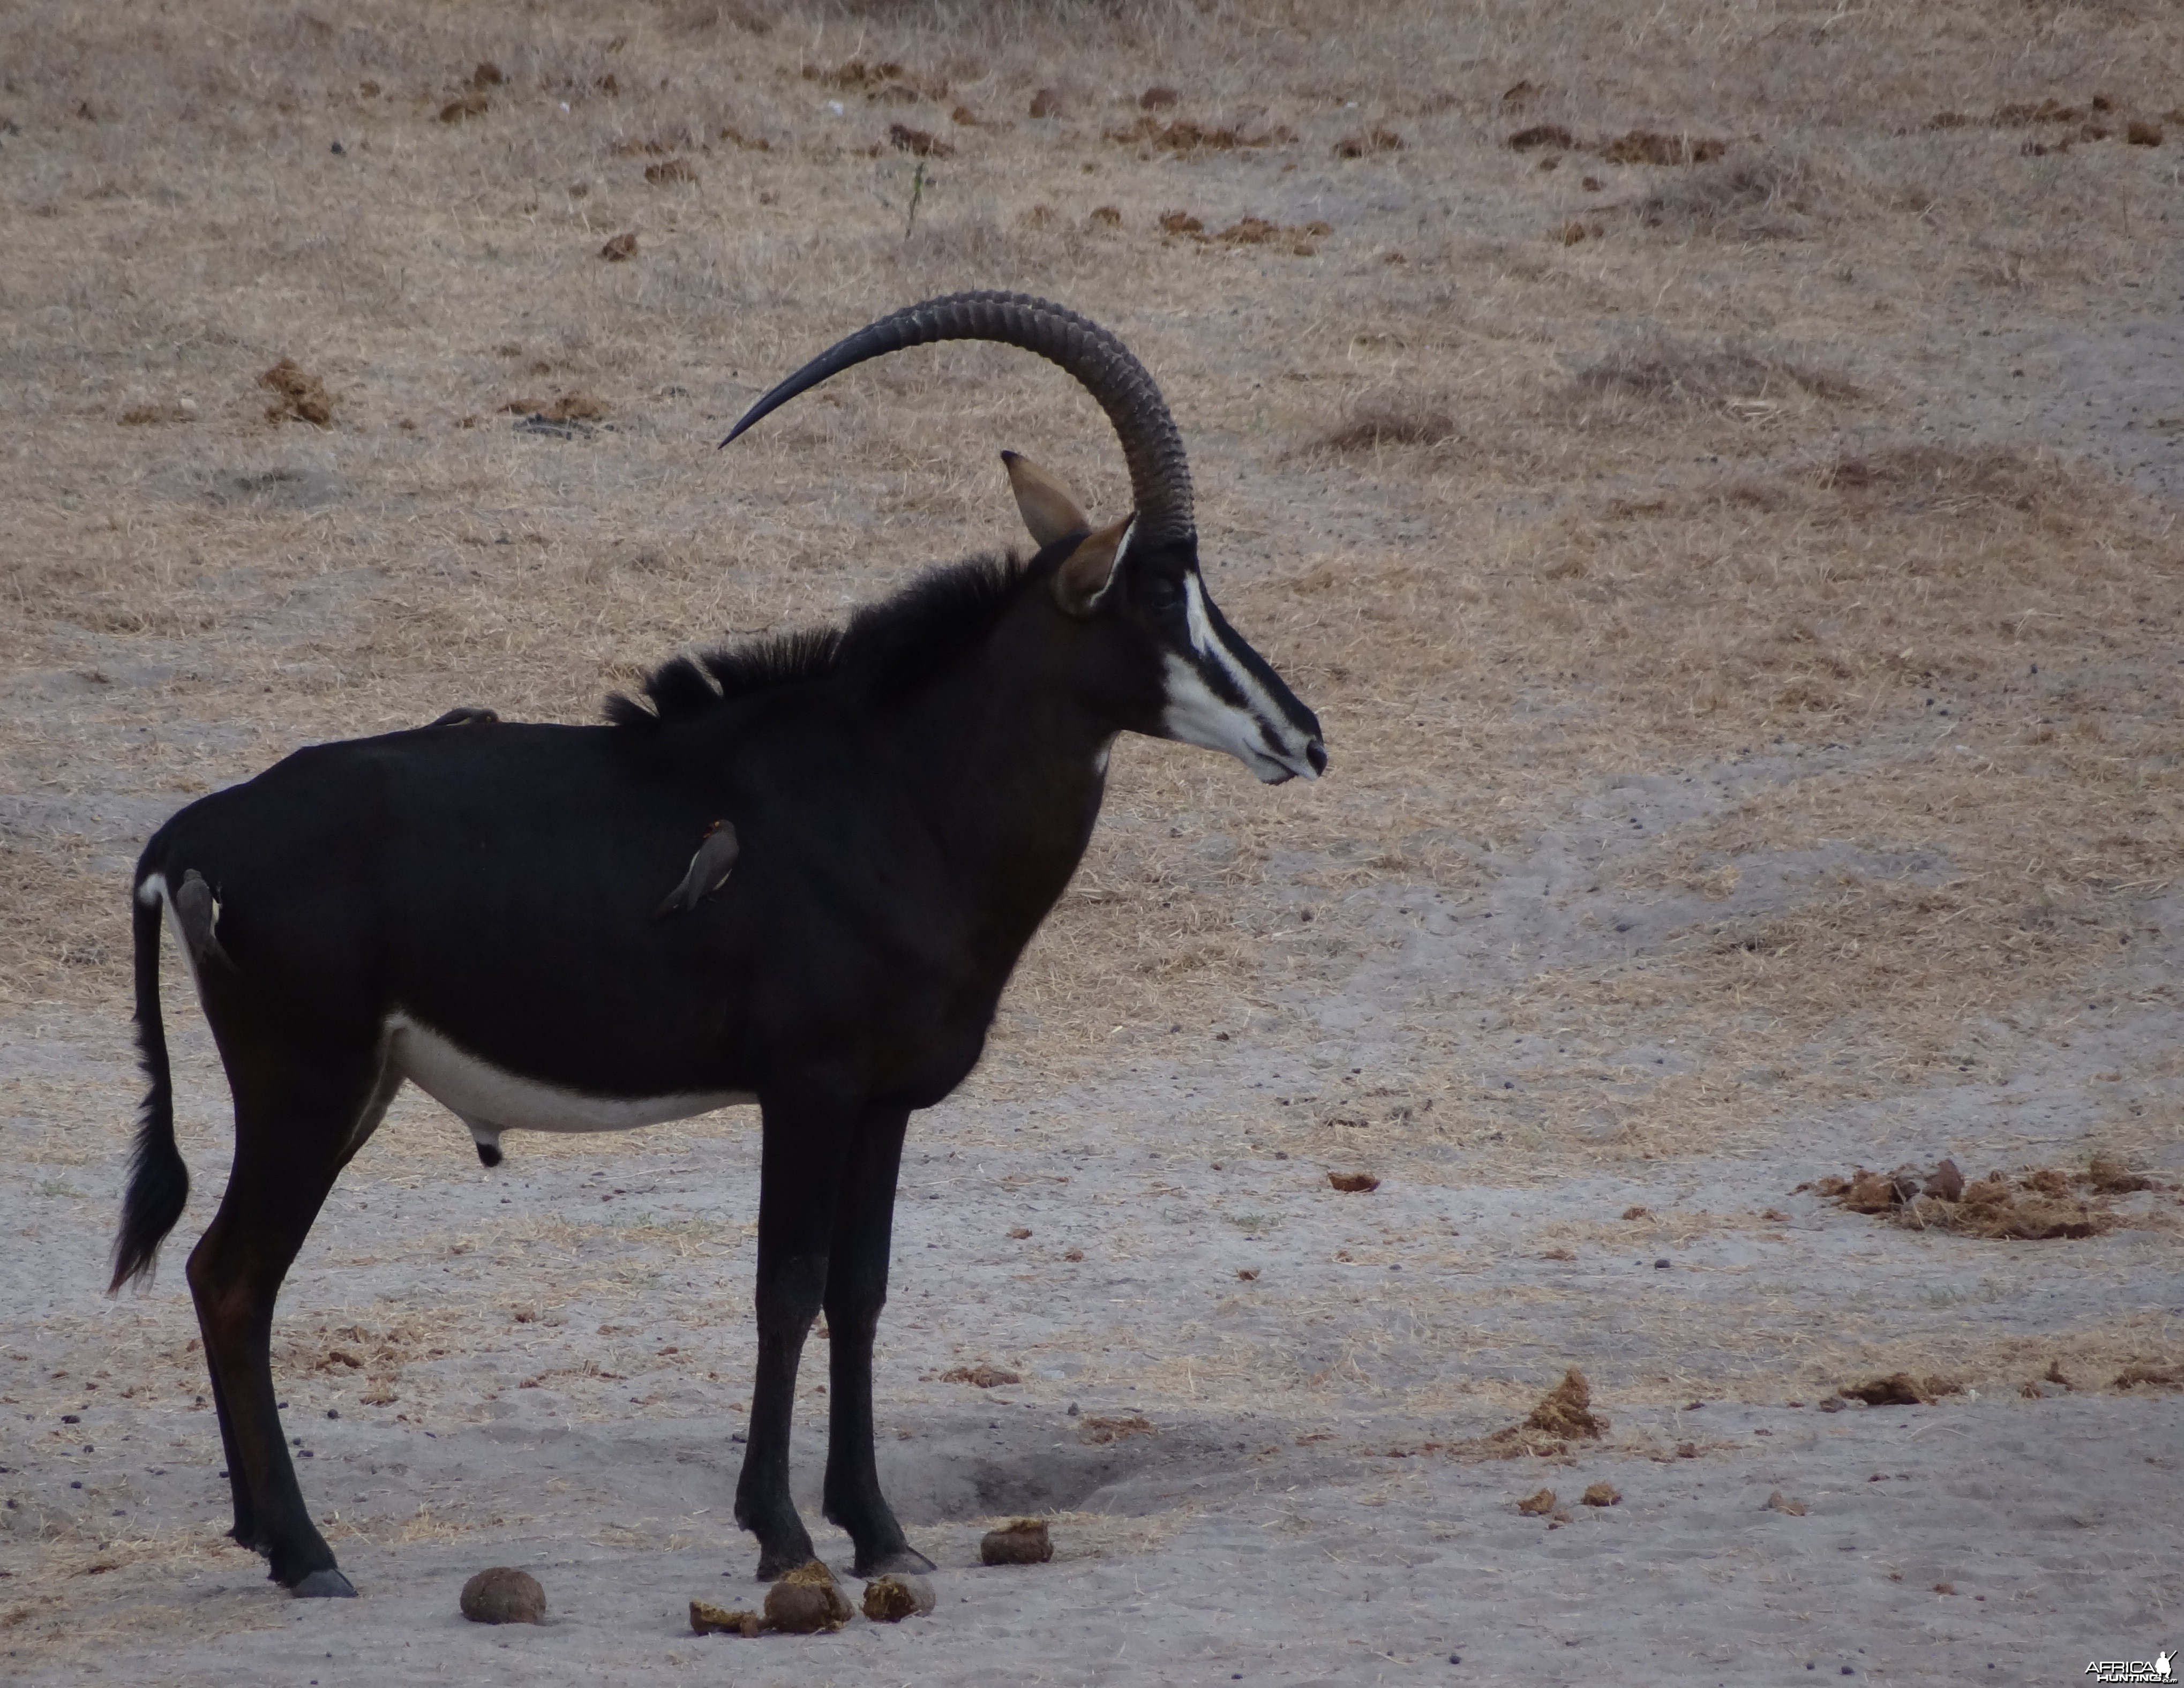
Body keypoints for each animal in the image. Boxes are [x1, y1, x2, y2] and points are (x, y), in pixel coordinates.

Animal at [110, 290, 1319, 1589]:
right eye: (1156, 606)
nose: (1301, 736)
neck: (899, 788)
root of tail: (195, 830)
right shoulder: (808, 1088)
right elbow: (784, 1288)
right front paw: (781, 1532)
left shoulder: (881, 1104)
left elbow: (861, 1290)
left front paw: (881, 1530)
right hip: (306, 1084)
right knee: (234, 1275)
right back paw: (304, 1551)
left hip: (356, 1089)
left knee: (221, 1274)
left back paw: (264, 1533)